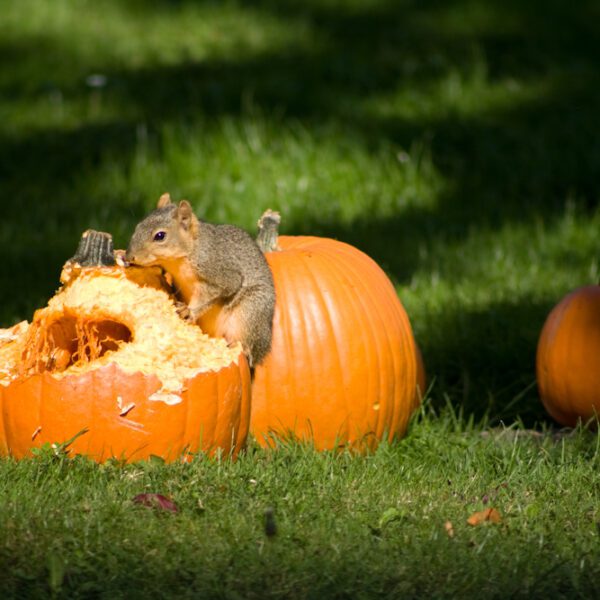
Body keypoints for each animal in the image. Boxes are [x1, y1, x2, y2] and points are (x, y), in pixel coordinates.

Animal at [127, 195, 278, 368]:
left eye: (160, 236)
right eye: (138, 226)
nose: (129, 256)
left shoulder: (219, 271)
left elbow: (217, 291)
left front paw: (189, 310)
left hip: (250, 313)